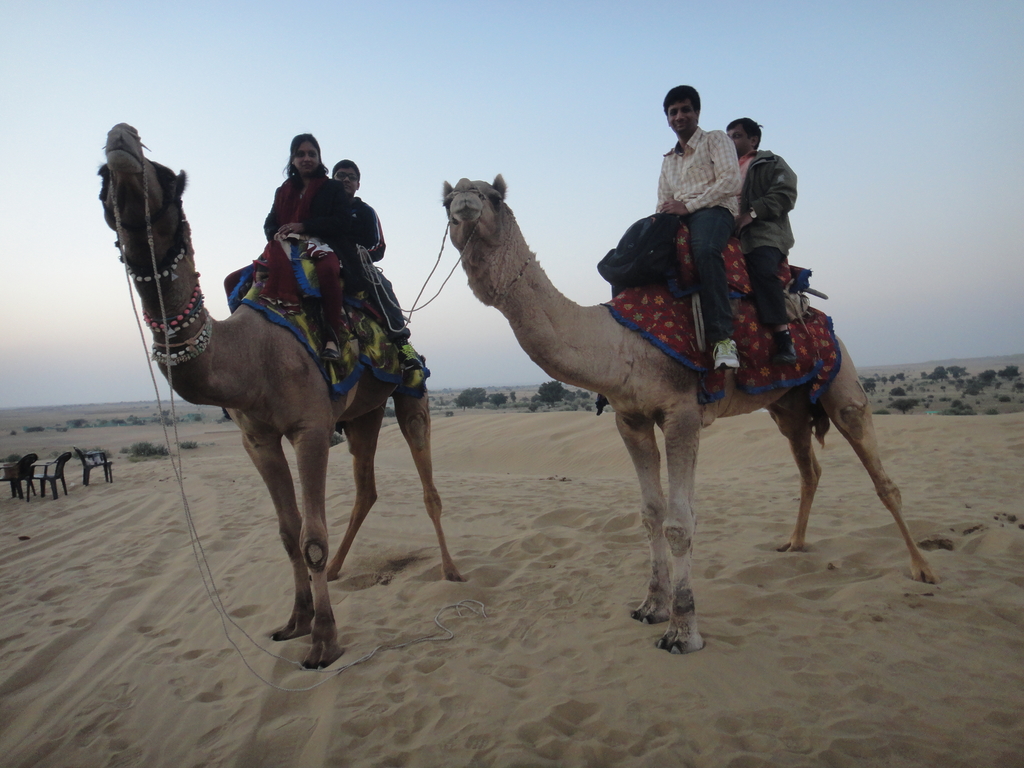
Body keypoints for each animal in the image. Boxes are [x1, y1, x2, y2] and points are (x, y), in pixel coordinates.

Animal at [97, 123, 462, 671]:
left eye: (167, 176)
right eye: (102, 177)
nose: (120, 136)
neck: (254, 355)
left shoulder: (310, 429)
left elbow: (312, 536)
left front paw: (324, 640)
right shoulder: (258, 439)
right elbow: (289, 533)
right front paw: (296, 622)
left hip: (410, 392)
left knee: (428, 486)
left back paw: (451, 571)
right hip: (363, 413)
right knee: (367, 486)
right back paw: (340, 570)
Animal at [442, 176, 937, 655]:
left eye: (492, 196)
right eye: (446, 200)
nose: (464, 201)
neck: (621, 343)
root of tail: (814, 311)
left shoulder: (681, 414)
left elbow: (680, 522)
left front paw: (682, 631)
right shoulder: (631, 418)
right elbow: (650, 514)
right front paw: (650, 607)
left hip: (841, 380)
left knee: (880, 475)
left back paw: (922, 568)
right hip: (787, 406)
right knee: (808, 468)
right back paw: (794, 543)